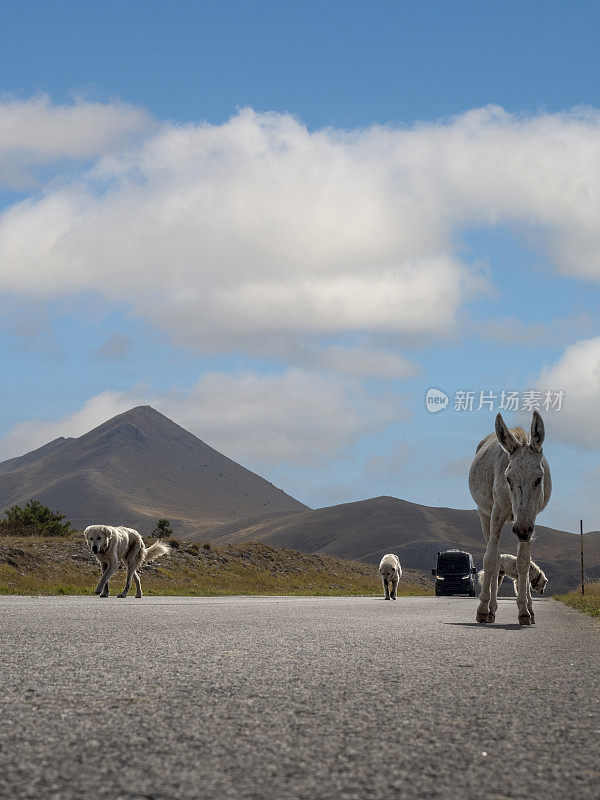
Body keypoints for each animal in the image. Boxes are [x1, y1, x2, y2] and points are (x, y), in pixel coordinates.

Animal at [468, 412, 552, 624]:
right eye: (508, 478)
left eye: (539, 479)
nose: (521, 530)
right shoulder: (498, 512)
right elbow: (490, 560)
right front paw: (483, 609)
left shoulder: (530, 519)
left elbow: (524, 563)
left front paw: (524, 611)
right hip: (484, 515)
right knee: (496, 558)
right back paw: (490, 609)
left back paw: (527, 608)